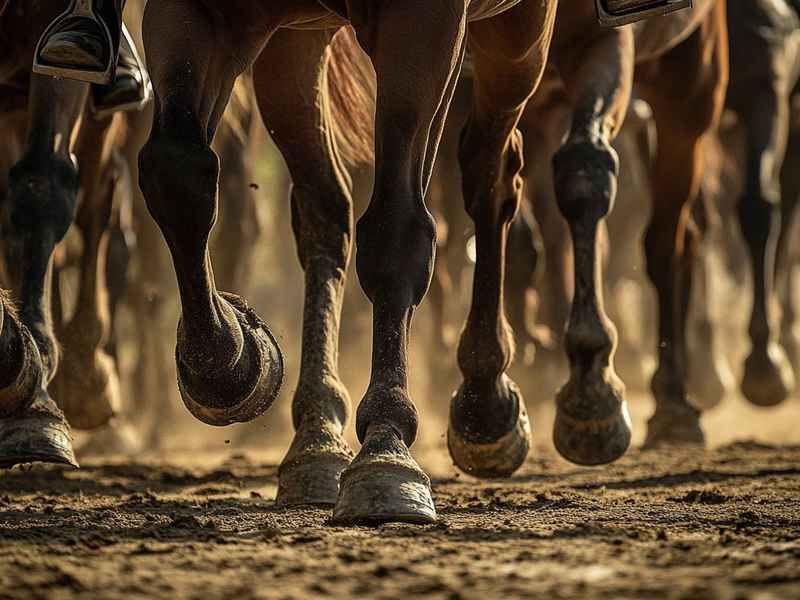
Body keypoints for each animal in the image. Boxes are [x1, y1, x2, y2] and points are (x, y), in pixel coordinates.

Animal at [137, 0, 726, 524]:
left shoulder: (445, 26)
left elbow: (401, 231)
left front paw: (386, 455)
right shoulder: (217, 15)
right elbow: (178, 172)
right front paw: (232, 362)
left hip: (635, 72)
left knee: (511, 178)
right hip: (306, 43)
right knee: (333, 208)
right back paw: (321, 441)